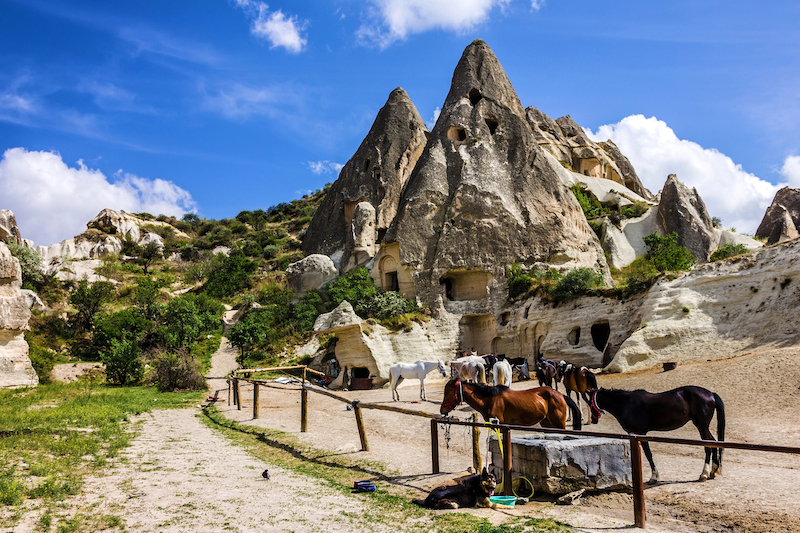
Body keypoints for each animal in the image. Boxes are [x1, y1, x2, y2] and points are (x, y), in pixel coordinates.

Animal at [440, 379, 582, 430]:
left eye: (447, 392)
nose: (442, 409)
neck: (489, 399)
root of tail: (560, 395)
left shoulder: (500, 425)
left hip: (559, 424)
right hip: (547, 423)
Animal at [587, 386, 725, 483]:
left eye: (589, 402)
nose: (593, 419)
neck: (626, 404)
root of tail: (711, 394)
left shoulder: (640, 433)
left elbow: (648, 454)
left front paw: (654, 477)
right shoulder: (634, 434)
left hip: (701, 426)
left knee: (708, 447)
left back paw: (704, 474)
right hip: (703, 426)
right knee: (714, 443)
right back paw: (713, 470)